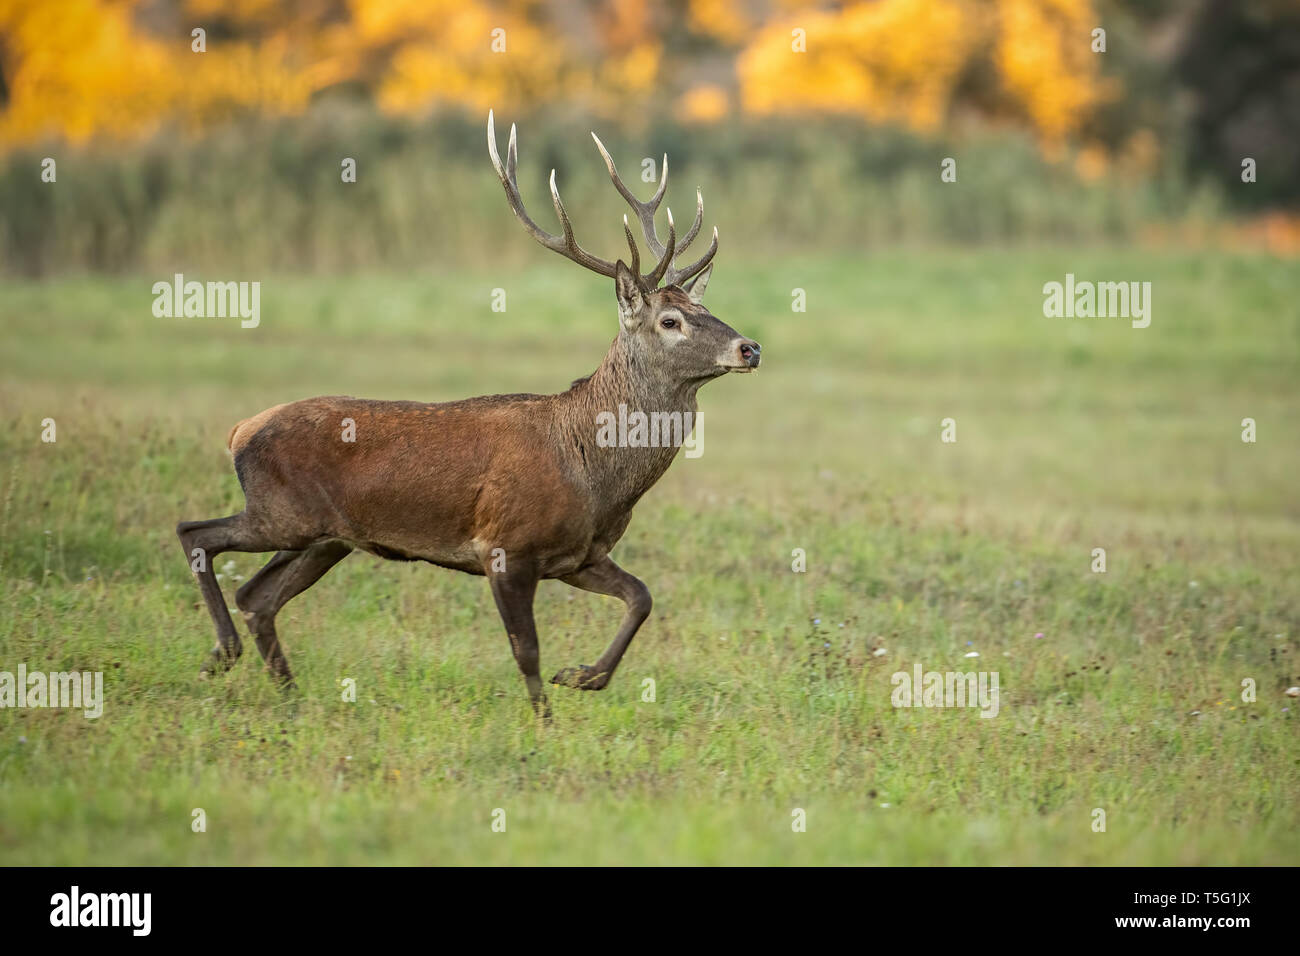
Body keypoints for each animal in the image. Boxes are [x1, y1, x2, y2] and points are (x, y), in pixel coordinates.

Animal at [174, 111, 759, 712]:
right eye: (670, 320)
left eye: (706, 308)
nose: (750, 348)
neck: (595, 475)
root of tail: (240, 429)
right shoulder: (504, 546)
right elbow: (527, 650)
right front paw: (545, 720)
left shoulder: (580, 554)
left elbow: (641, 597)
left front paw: (583, 675)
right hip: (282, 513)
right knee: (195, 534)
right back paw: (223, 654)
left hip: (324, 537)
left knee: (257, 595)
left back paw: (289, 697)